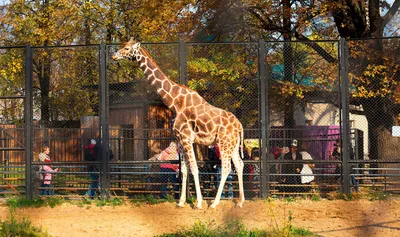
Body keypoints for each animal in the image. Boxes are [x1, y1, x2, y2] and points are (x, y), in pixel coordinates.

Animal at [111, 38, 245, 208]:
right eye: (122, 46)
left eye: (127, 48)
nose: (114, 56)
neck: (174, 102)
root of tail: (239, 125)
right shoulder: (179, 140)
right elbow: (184, 170)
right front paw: (181, 202)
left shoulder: (187, 138)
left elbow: (194, 168)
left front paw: (199, 203)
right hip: (232, 144)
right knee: (239, 165)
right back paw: (240, 201)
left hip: (223, 143)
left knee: (227, 168)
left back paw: (214, 203)